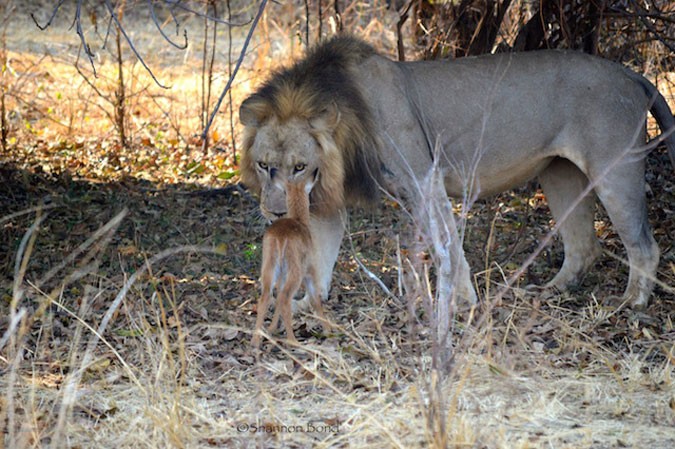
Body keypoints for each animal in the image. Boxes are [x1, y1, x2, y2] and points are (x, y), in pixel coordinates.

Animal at [242, 35, 675, 310]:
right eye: (264, 165)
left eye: (300, 167)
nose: (277, 213)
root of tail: (629, 73)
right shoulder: (330, 199)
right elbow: (322, 254)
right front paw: (302, 304)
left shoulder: (425, 178)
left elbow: (448, 247)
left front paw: (462, 303)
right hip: (560, 174)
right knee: (584, 245)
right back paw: (548, 292)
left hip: (615, 168)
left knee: (643, 244)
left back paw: (631, 303)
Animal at [252, 174, 328, 346]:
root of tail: (280, 238)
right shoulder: (311, 271)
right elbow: (315, 300)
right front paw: (329, 330)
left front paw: (272, 328)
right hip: (295, 273)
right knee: (286, 298)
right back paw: (293, 340)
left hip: (270, 268)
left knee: (266, 297)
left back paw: (256, 340)